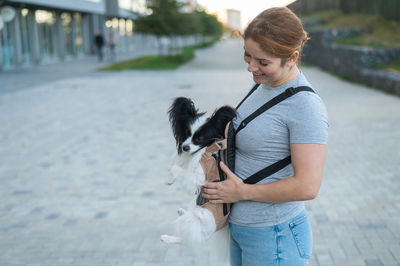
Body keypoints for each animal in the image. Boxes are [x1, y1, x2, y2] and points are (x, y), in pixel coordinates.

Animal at [161, 96, 236, 250]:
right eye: (186, 134)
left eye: (199, 139)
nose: (185, 147)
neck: (204, 152)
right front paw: (169, 180)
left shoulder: (197, 178)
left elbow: (176, 169)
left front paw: (171, 175)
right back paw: (182, 213)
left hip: (197, 220)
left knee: (187, 239)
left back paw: (167, 237)